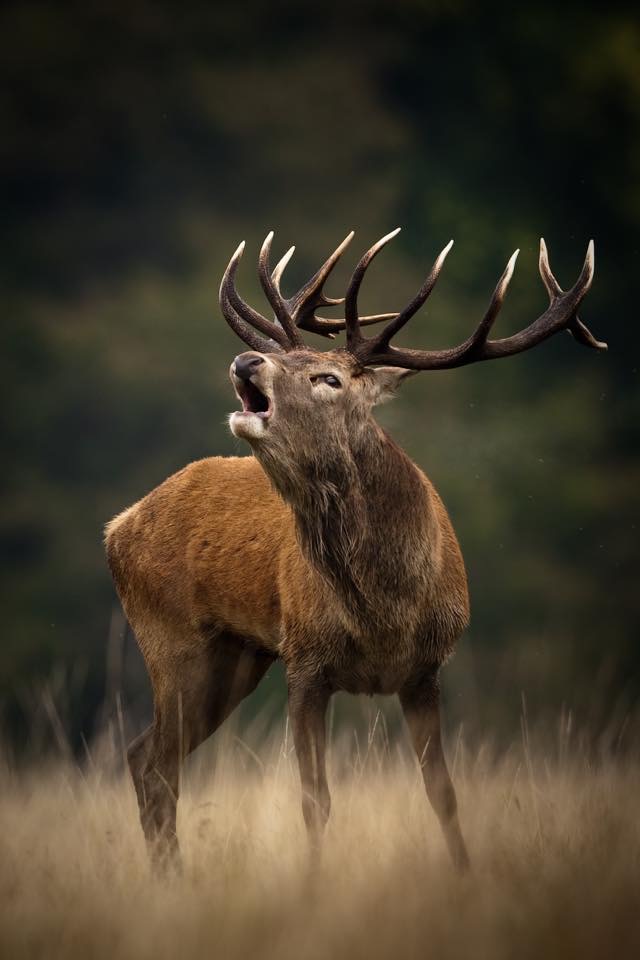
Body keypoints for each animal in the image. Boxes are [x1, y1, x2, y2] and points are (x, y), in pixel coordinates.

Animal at [105, 227, 604, 872]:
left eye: (328, 378)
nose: (246, 359)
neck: (383, 612)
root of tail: (118, 526)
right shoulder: (305, 663)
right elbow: (315, 799)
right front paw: (314, 885)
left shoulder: (425, 670)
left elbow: (443, 792)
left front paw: (466, 876)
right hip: (173, 642)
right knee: (159, 764)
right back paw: (172, 879)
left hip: (236, 658)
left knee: (146, 756)